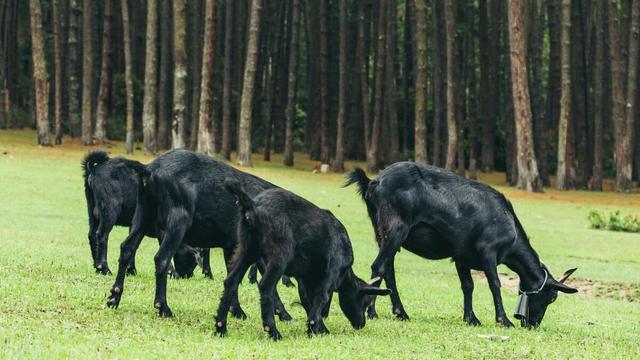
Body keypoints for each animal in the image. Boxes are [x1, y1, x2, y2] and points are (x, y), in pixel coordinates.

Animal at [81, 150, 211, 278]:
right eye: (193, 259)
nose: (187, 276)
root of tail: (95, 168)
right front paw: (171, 272)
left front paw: (131, 270)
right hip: (109, 209)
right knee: (102, 235)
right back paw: (104, 268)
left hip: (92, 212)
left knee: (92, 235)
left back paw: (97, 267)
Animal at [215, 180, 392, 340]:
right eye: (365, 300)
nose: (361, 324)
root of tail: (253, 206)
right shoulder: (332, 270)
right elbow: (322, 296)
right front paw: (316, 328)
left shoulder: (306, 278)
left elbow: (309, 301)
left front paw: (316, 328)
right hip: (279, 255)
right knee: (265, 286)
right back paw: (273, 332)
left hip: (247, 249)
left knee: (231, 281)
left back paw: (220, 328)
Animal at [348, 164, 576, 330]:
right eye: (552, 297)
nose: (532, 324)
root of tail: (372, 183)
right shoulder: (488, 251)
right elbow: (494, 284)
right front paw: (503, 320)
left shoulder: (461, 256)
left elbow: (468, 286)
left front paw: (471, 318)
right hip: (395, 229)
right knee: (379, 266)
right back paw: (375, 312)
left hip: (381, 232)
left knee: (388, 270)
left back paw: (399, 312)